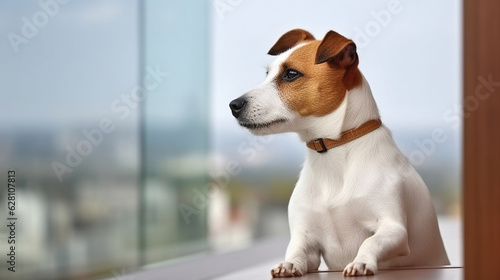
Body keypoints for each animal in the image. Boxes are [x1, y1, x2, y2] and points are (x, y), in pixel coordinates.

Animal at [229, 29, 452, 276]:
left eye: (291, 74)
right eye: (267, 74)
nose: (233, 105)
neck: (332, 153)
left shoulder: (394, 228)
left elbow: (370, 241)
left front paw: (360, 262)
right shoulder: (306, 237)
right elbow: (296, 251)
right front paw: (289, 263)